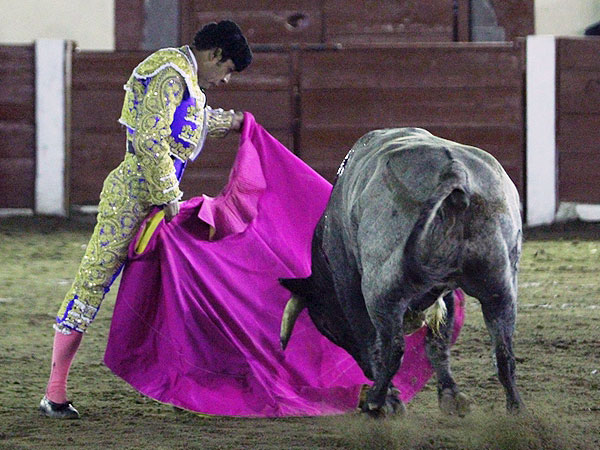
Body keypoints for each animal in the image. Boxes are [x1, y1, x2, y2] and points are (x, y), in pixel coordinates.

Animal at [279, 127, 523, 417]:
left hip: (381, 290)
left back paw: (376, 401)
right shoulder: (445, 290)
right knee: (504, 350)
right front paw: (451, 396)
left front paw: (390, 399)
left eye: (327, 326)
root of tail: (454, 171)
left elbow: (369, 340)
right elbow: (437, 343)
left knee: (393, 348)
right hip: (500, 285)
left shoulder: (347, 280)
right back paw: (516, 408)